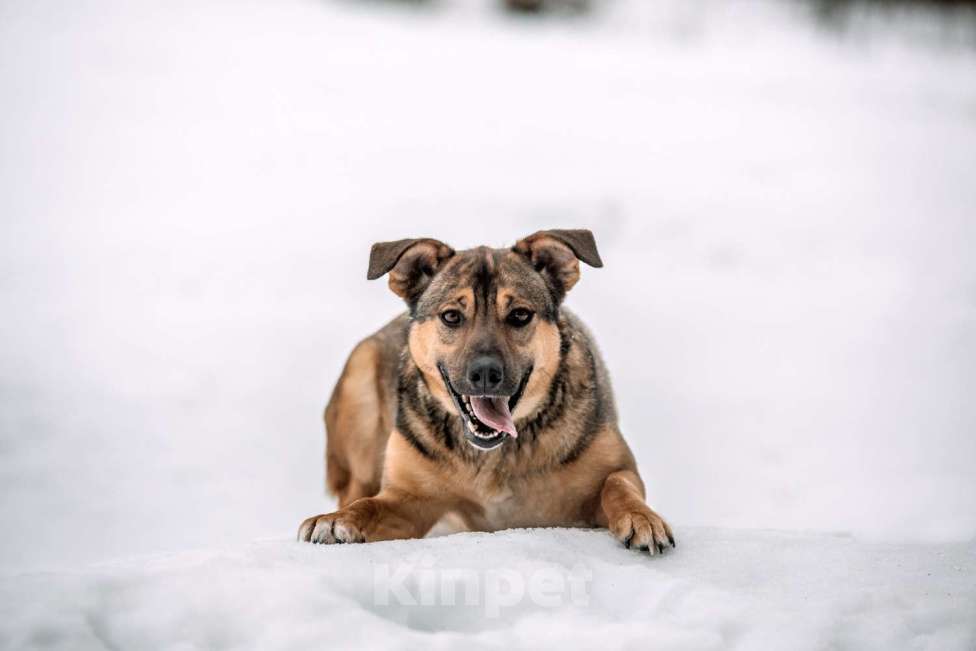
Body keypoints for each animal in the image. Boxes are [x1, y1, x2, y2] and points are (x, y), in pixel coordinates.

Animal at [298, 229, 676, 556]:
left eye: (520, 314)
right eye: (451, 316)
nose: (484, 374)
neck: (495, 456)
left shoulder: (618, 468)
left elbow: (618, 484)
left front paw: (642, 519)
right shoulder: (409, 497)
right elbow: (370, 506)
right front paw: (336, 522)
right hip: (360, 384)